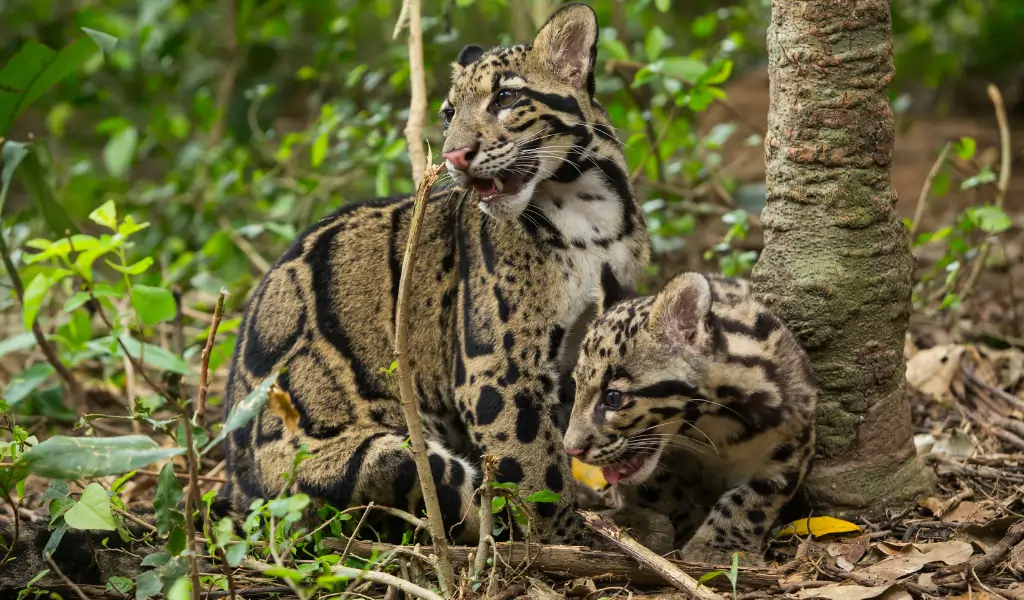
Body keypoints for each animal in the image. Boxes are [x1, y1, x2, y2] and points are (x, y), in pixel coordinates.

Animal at [221, 2, 650, 547]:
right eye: (449, 114)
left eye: (506, 98)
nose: (453, 155)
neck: (588, 207)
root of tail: (239, 490)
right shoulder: (497, 367)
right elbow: (534, 463)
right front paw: (565, 538)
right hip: (377, 459)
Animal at [563, 271, 817, 566]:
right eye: (576, 386)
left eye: (613, 397)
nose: (571, 449)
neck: (716, 426)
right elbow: (662, 488)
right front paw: (663, 522)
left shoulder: (794, 441)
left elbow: (755, 498)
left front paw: (721, 547)